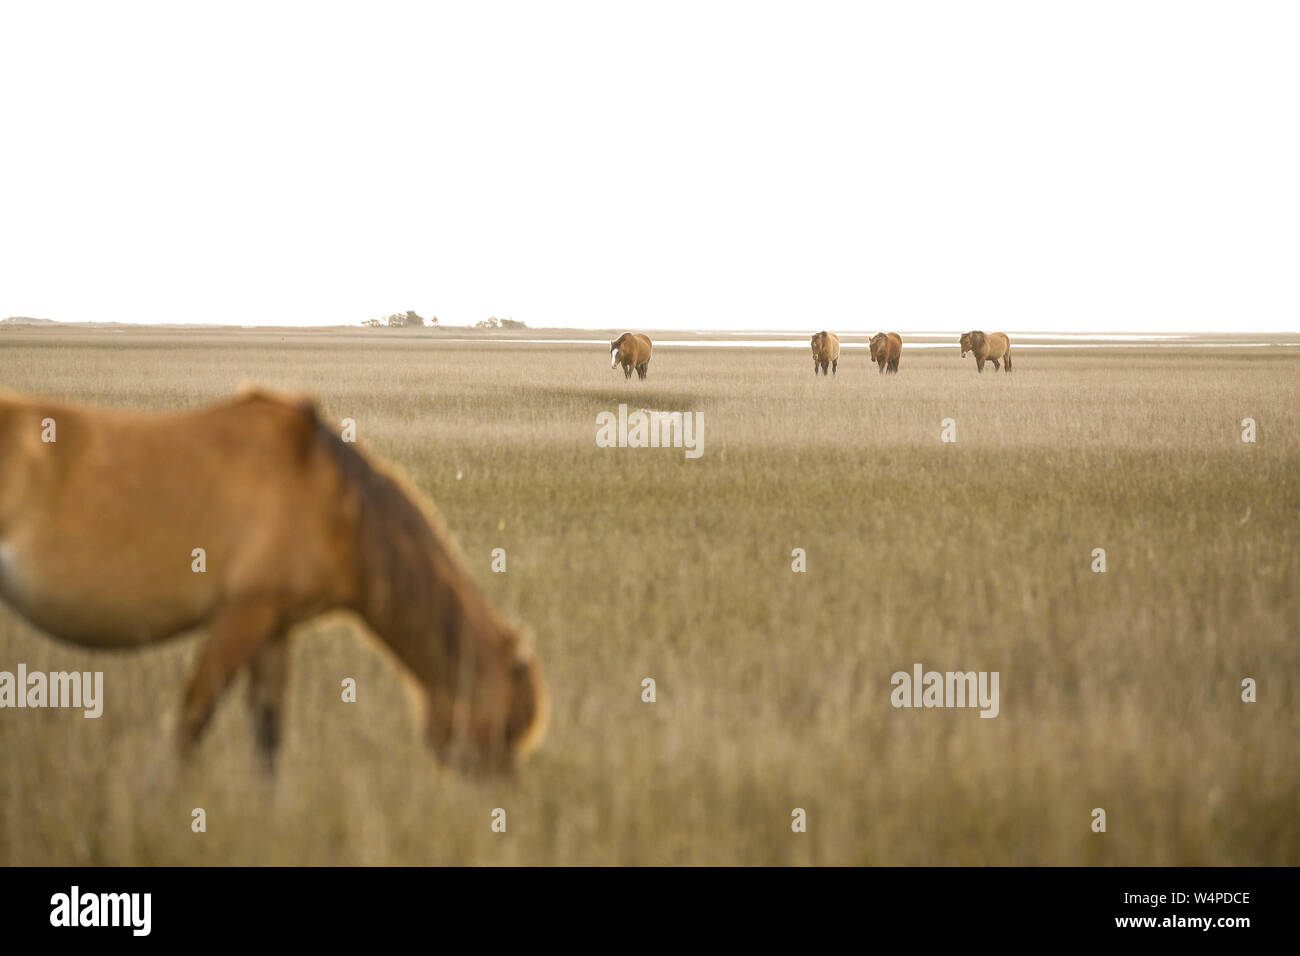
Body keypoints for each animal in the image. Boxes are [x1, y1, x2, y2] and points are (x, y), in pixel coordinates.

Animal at [0, 390, 546, 780]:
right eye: (508, 727)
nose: (501, 807)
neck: (333, 501)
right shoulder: (240, 618)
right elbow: (189, 727)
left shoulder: (274, 631)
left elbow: (268, 743)